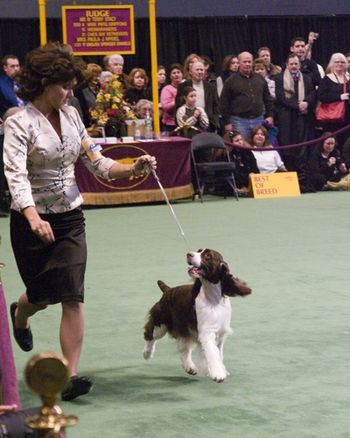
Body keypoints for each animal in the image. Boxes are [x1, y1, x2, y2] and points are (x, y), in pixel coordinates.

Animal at [143, 248, 252, 382]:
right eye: (199, 250)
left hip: (185, 329)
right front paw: (218, 374)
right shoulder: (207, 332)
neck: (214, 299)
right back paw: (147, 354)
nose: (189, 254)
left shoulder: (221, 333)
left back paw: (190, 368)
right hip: (161, 321)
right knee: (150, 334)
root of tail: (168, 290)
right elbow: (212, 353)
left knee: (184, 349)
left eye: (208, 255)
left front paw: (220, 370)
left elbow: (218, 353)